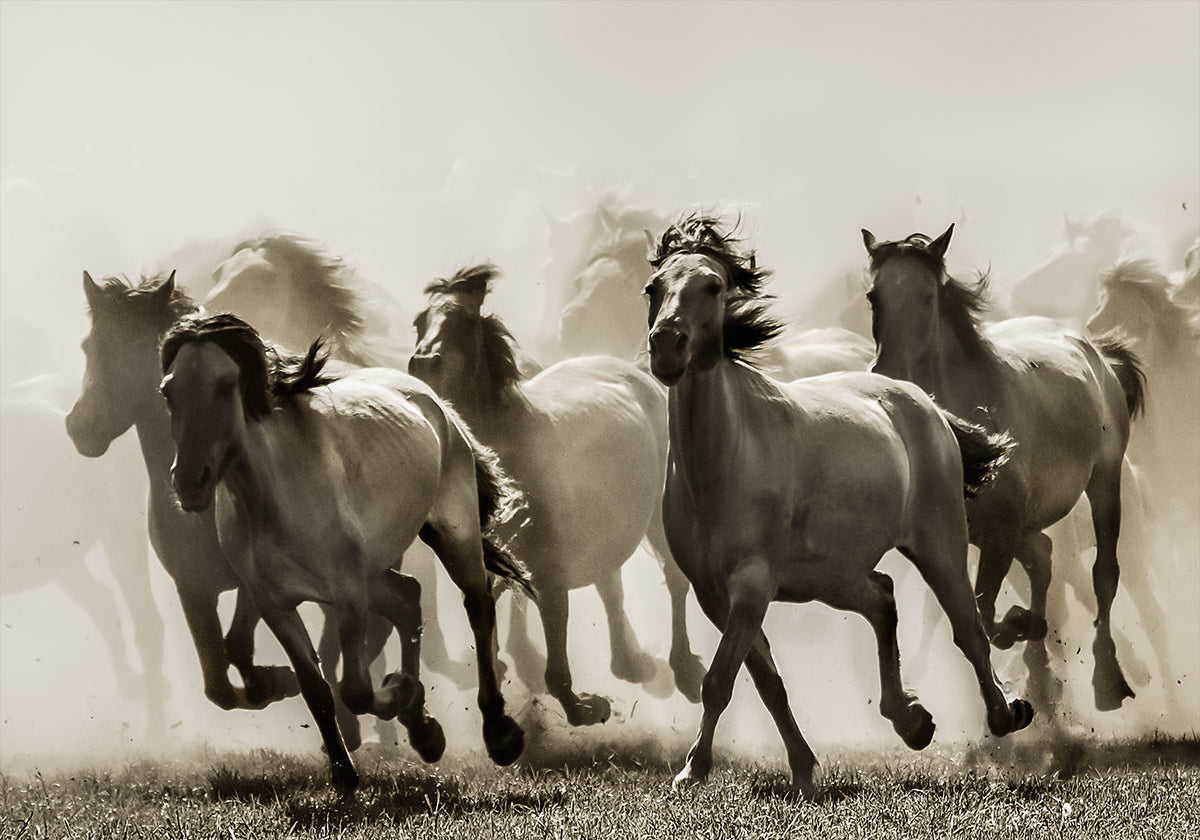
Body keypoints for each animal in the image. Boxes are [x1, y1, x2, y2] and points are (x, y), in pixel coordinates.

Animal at [158, 312, 530, 790]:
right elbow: (316, 688)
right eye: (168, 391)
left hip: (453, 534)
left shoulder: (347, 593)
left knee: (478, 604)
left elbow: (354, 689)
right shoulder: (274, 603)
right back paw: (424, 732)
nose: (189, 482)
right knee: (408, 597)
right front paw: (344, 772)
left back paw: (498, 733)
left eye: (226, 385)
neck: (275, 497)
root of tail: (434, 401)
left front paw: (398, 693)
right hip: (375, 569)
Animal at [409, 264, 706, 725]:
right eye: (419, 322)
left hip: (658, 518)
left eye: (462, 322)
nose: (422, 364)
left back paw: (684, 670)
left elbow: (554, 633)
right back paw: (631, 663)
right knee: (610, 584)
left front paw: (582, 706)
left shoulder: (549, 567)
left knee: (674, 580)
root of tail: (638, 375)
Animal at [644, 212, 1032, 799]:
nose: (667, 344)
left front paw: (693, 769)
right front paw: (804, 770)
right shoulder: (715, 595)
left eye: (712, 286)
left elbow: (719, 680)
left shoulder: (751, 585)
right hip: (834, 576)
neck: (725, 461)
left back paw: (1005, 714)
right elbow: (767, 683)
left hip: (938, 544)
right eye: (653, 288)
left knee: (969, 630)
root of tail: (923, 402)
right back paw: (912, 721)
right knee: (883, 597)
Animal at [862, 224, 1145, 714]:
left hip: (1104, 482)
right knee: (1044, 557)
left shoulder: (1001, 531)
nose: (889, 372)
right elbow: (983, 612)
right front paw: (1024, 632)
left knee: (1103, 573)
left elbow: (985, 612)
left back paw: (1107, 680)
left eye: (927, 297)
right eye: (873, 297)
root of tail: (1097, 354)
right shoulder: (972, 536)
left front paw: (1018, 630)